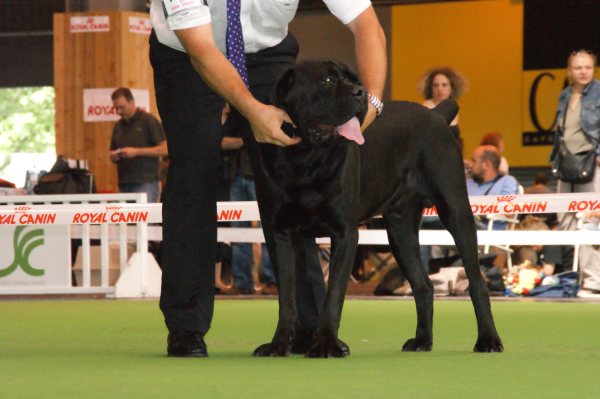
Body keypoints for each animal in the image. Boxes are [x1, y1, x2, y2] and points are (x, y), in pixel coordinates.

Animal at [252, 60, 502, 360]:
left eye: (355, 80)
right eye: (326, 81)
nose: (360, 92)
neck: (305, 158)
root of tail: (435, 115)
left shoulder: (345, 233)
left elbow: (333, 294)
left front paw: (325, 344)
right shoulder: (279, 233)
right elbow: (287, 297)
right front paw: (278, 344)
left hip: (455, 211)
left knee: (476, 282)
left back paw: (488, 339)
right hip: (400, 230)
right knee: (424, 285)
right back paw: (422, 341)